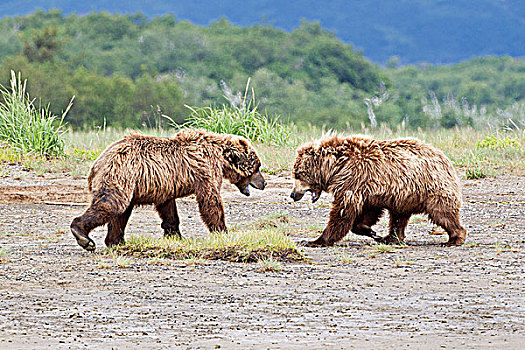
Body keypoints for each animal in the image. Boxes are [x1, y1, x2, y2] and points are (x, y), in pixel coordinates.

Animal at [70, 129, 266, 252]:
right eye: (257, 167)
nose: (263, 183)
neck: (220, 156)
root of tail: (98, 162)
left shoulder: (165, 184)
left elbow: (168, 209)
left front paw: (175, 234)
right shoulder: (206, 170)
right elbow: (210, 201)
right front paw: (222, 230)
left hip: (128, 182)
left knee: (121, 213)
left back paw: (116, 241)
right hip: (121, 173)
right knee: (112, 204)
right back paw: (83, 236)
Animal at [290, 134, 466, 246]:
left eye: (297, 174)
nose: (293, 194)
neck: (336, 167)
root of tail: (444, 158)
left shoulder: (353, 179)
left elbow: (343, 211)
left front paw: (316, 241)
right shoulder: (369, 189)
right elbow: (368, 211)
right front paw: (371, 232)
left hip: (431, 188)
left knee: (442, 213)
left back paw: (454, 238)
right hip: (405, 196)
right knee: (398, 217)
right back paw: (391, 238)